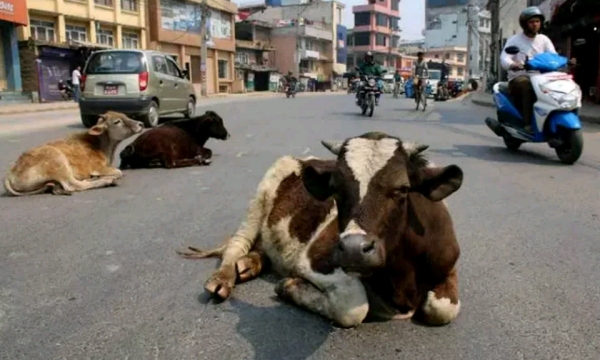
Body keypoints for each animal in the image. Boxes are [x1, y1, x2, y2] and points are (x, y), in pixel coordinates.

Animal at [3, 112, 143, 197]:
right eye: (117, 121)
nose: (140, 124)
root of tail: (10, 173)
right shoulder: (97, 167)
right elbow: (118, 172)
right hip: (57, 161)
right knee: (72, 185)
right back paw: (107, 181)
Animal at [178, 133, 464, 330]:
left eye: (402, 189)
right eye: (336, 188)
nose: (354, 250)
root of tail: (308, 159)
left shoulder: (449, 265)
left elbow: (442, 309)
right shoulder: (313, 260)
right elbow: (352, 308)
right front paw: (289, 286)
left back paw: (250, 264)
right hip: (260, 196)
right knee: (237, 243)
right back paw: (223, 278)